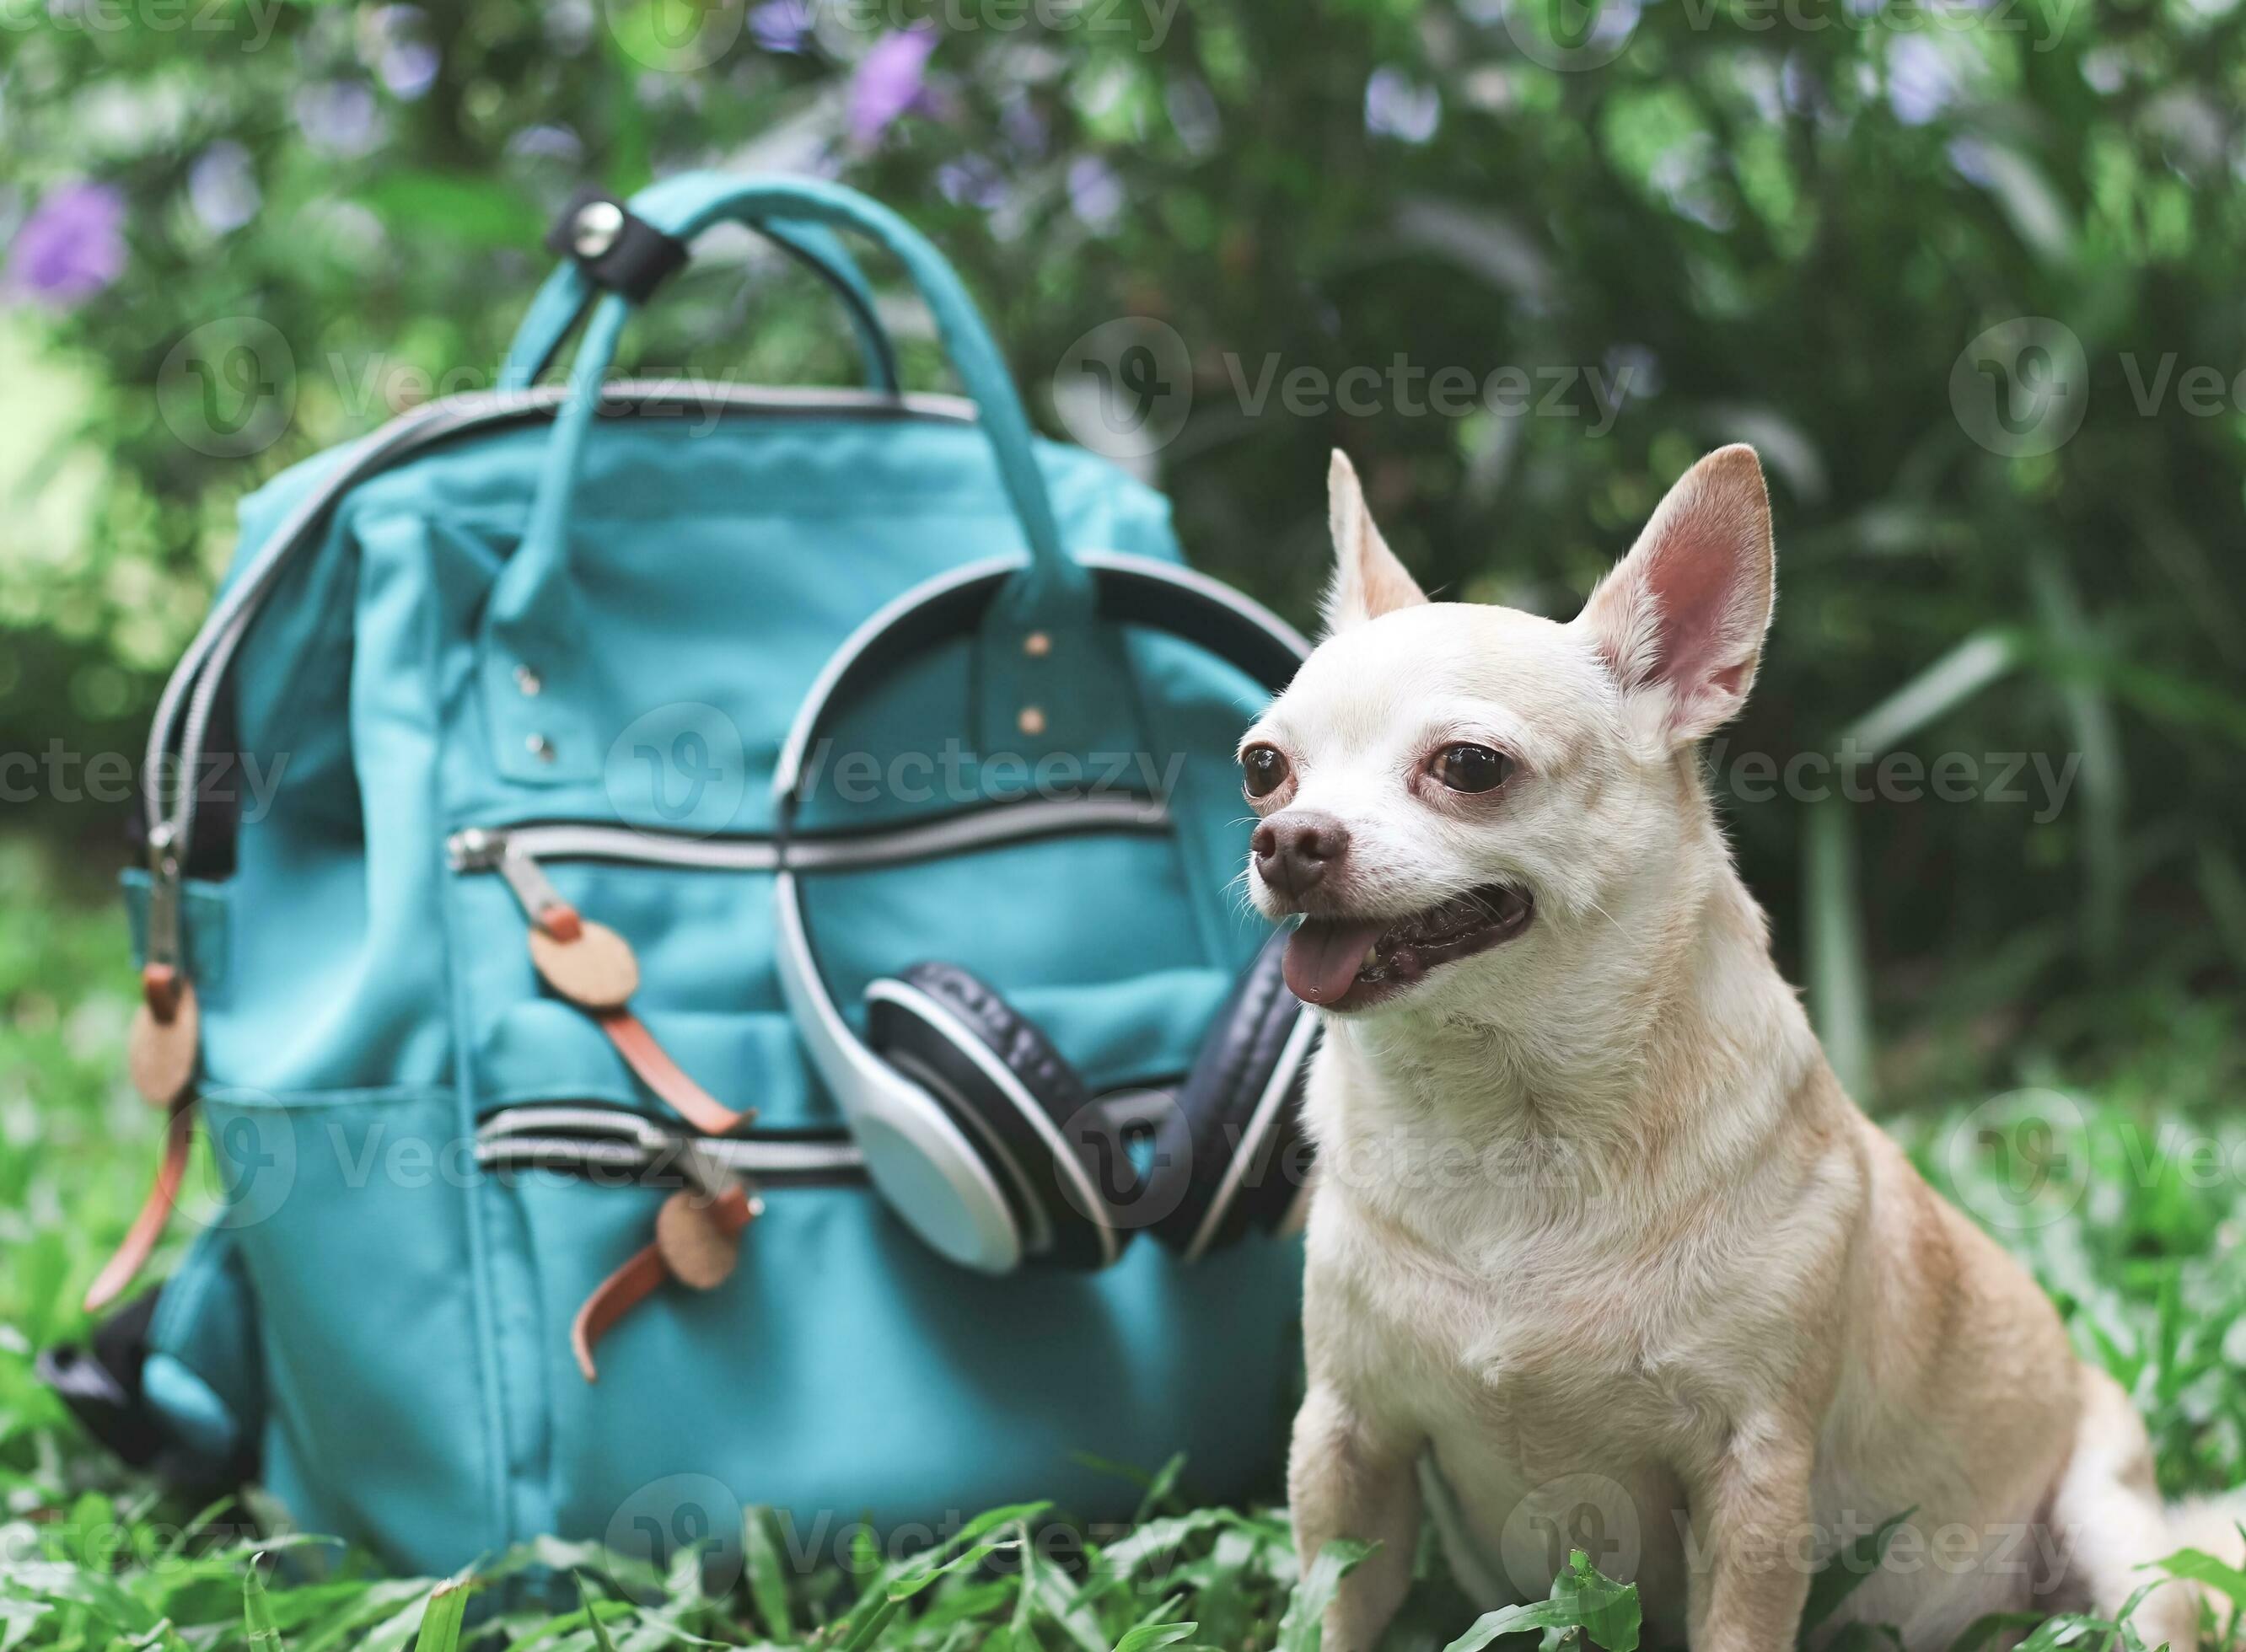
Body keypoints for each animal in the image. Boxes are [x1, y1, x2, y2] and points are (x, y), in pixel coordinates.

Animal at [1249, 442, 2227, 1652]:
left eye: (1469, 767)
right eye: (1263, 767)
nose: (1285, 839)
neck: (1512, 1118)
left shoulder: (1755, 1477)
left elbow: (1738, 1624)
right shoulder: (1347, 1442)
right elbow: (1330, 1610)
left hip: (2116, 1528)